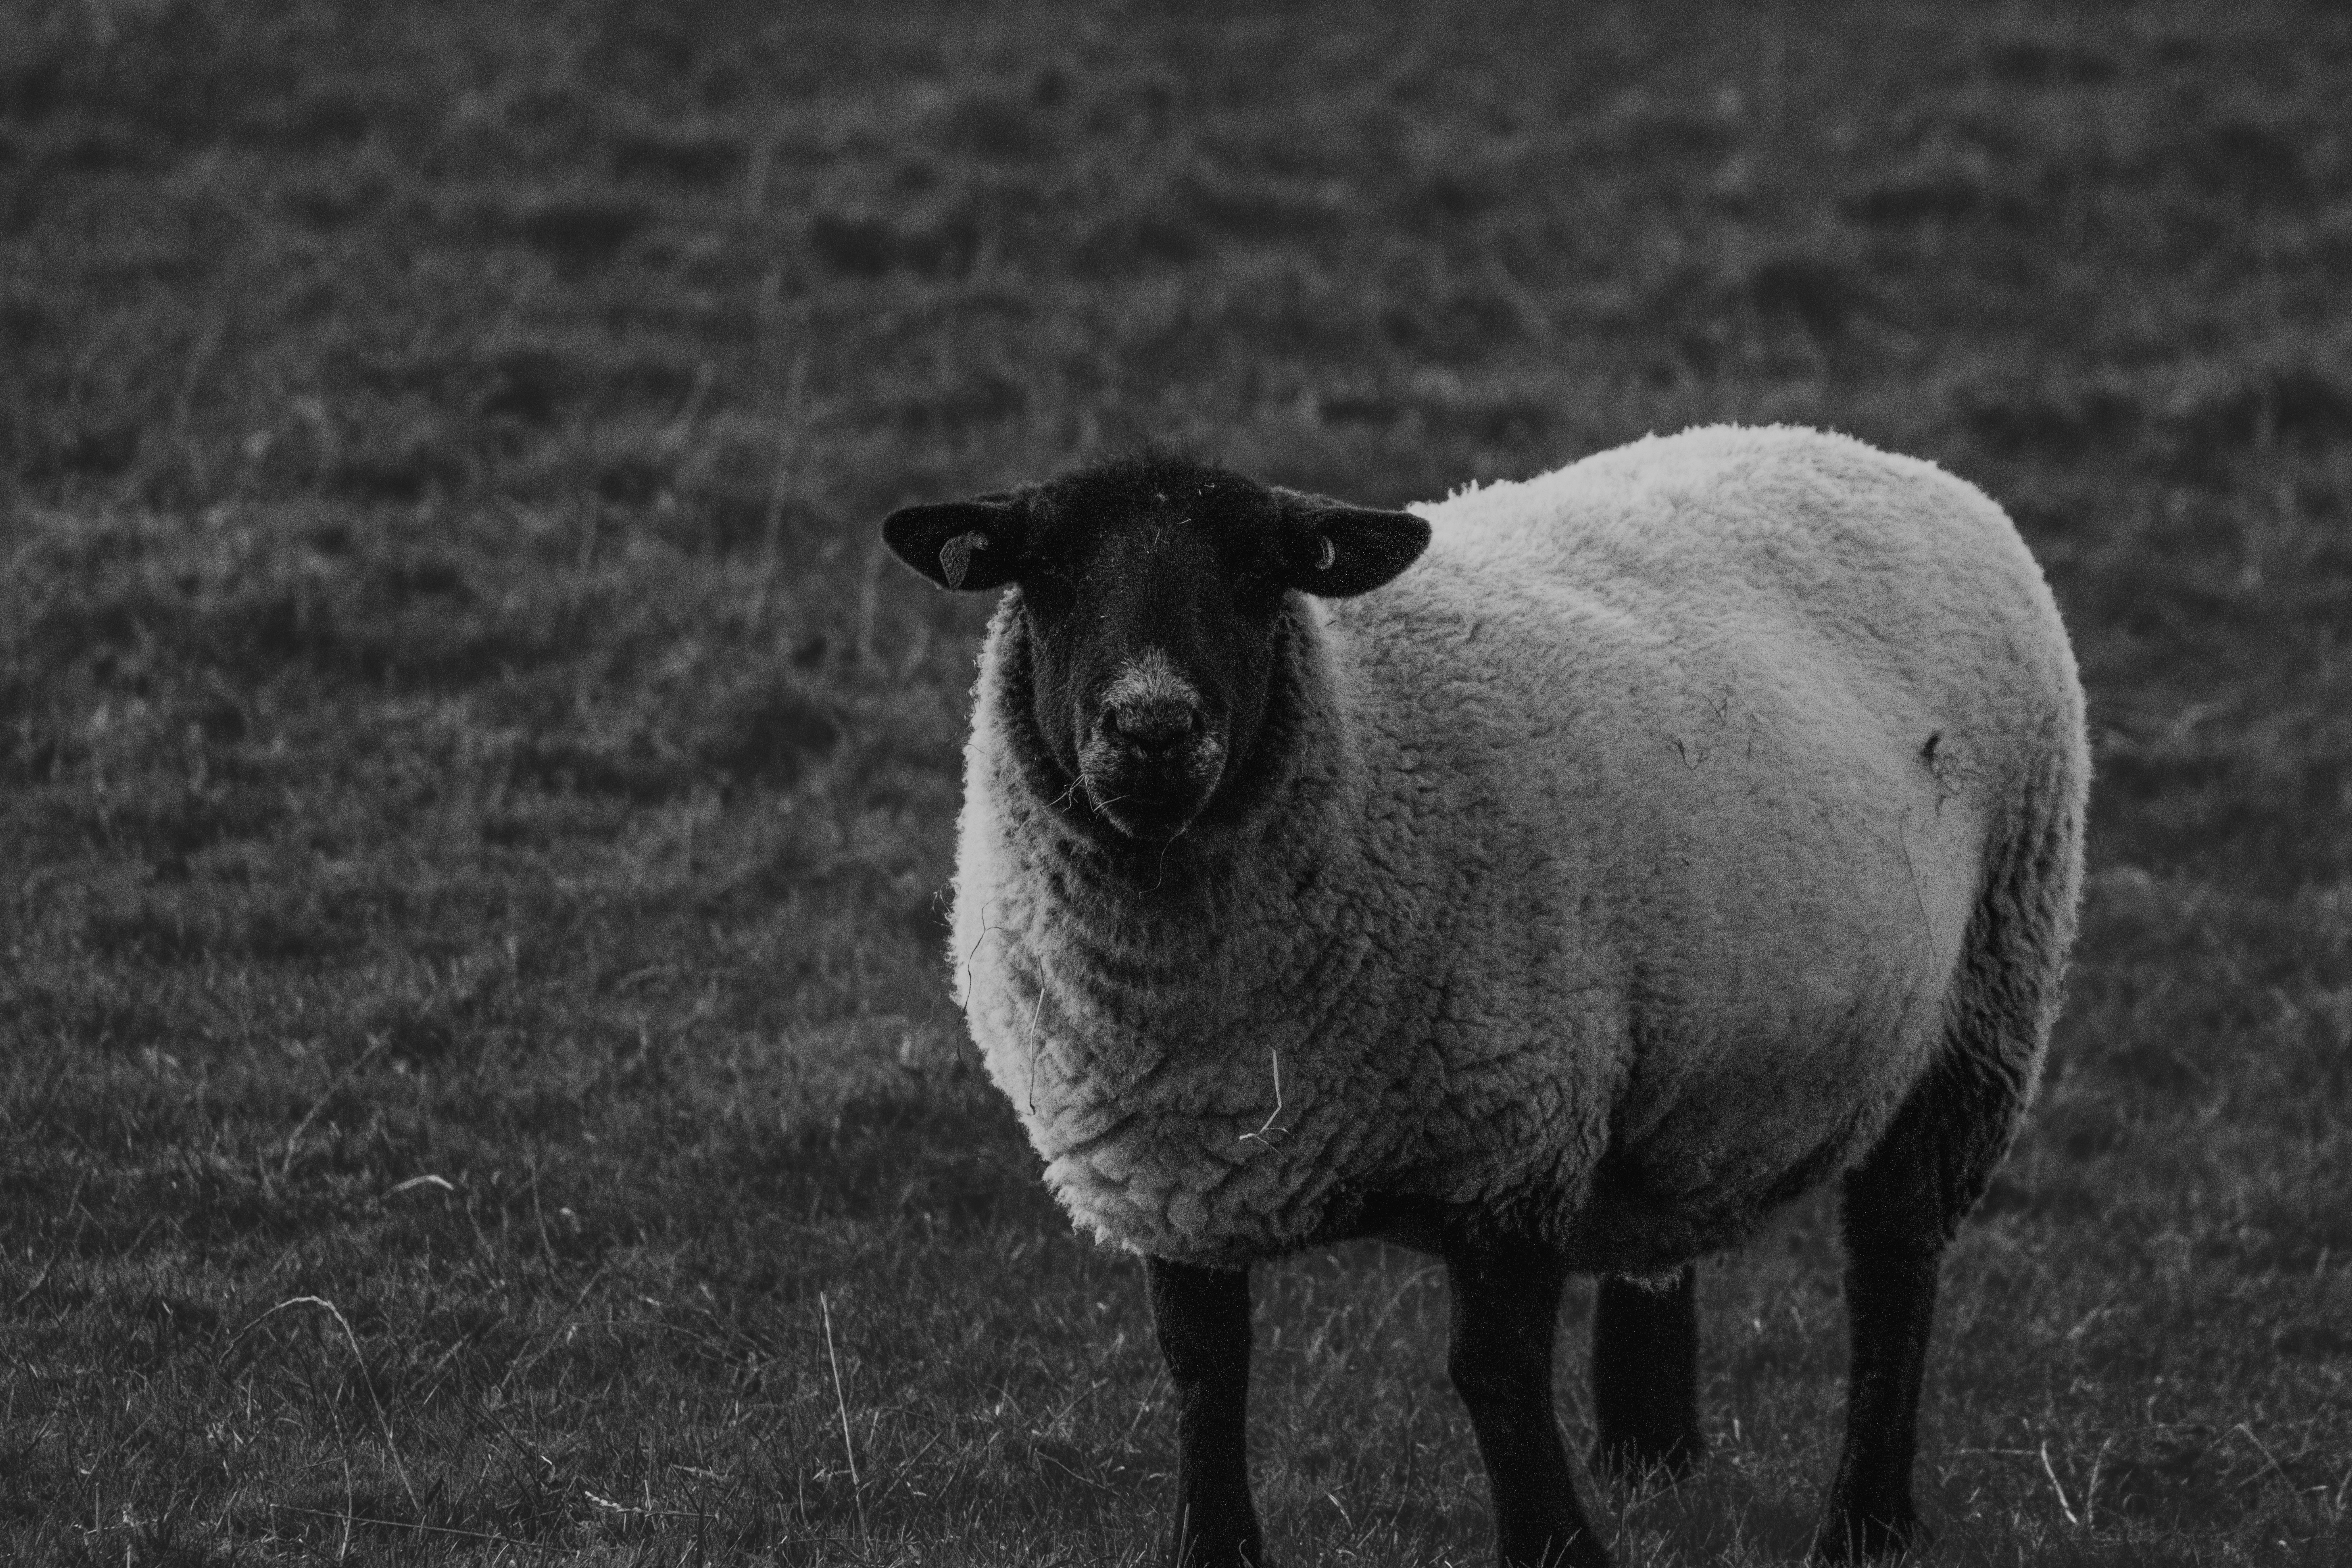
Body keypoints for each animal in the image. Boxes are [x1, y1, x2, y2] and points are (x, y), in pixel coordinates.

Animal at [881, 424, 2088, 1568]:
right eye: (1046, 572)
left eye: (1258, 574)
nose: (1153, 730)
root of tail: (1882, 457)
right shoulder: (1174, 1169)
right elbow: (1203, 1367)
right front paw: (1215, 1547)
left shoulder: (1509, 1142)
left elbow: (1494, 1376)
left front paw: (1557, 1547)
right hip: (1677, 1066)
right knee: (1664, 1229)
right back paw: (1650, 1455)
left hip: (1986, 997)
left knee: (1895, 1265)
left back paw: (1864, 1522)